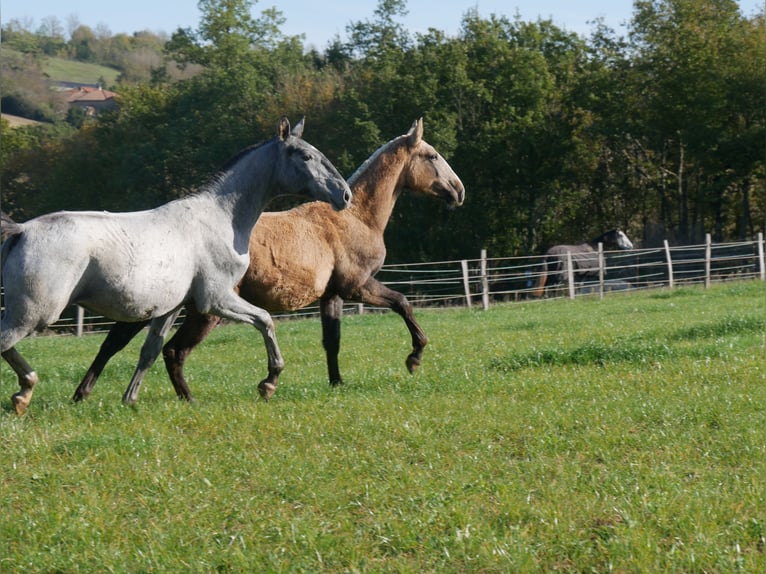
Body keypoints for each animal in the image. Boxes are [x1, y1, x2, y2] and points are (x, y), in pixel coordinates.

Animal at [0, 117, 352, 414]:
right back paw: (24, 393)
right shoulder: (215, 298)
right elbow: (265, 320)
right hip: (35, 313)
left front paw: (130, 400)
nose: (345, 195)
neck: (221, 220)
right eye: (305, 156)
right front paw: (269, 383)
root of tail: (21, 230)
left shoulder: (171, 307)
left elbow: (151, 350)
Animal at [73, 117, 468, 404]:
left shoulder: (332, 295)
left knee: (128, 344)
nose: (459, 190)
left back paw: (88, 393)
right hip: (206, 311)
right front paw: (414, 358)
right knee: (171, 350)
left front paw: (336, 382)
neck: (355, 218)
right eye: (432, 156)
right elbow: (403, 303)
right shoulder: (357, 287)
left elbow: (333, 340)